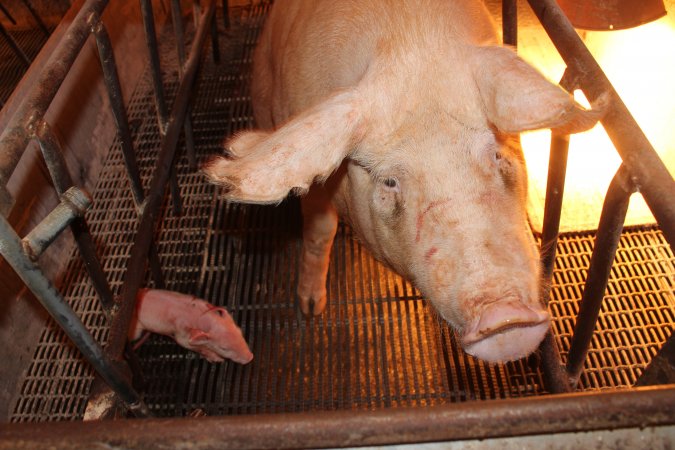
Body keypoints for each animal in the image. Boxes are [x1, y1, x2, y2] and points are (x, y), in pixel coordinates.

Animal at [203, 0, 604, 362]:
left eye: (494, 153)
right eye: (390, 182)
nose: (503, 314)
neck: (406, 40)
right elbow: (319, 230)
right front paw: (311, 308)